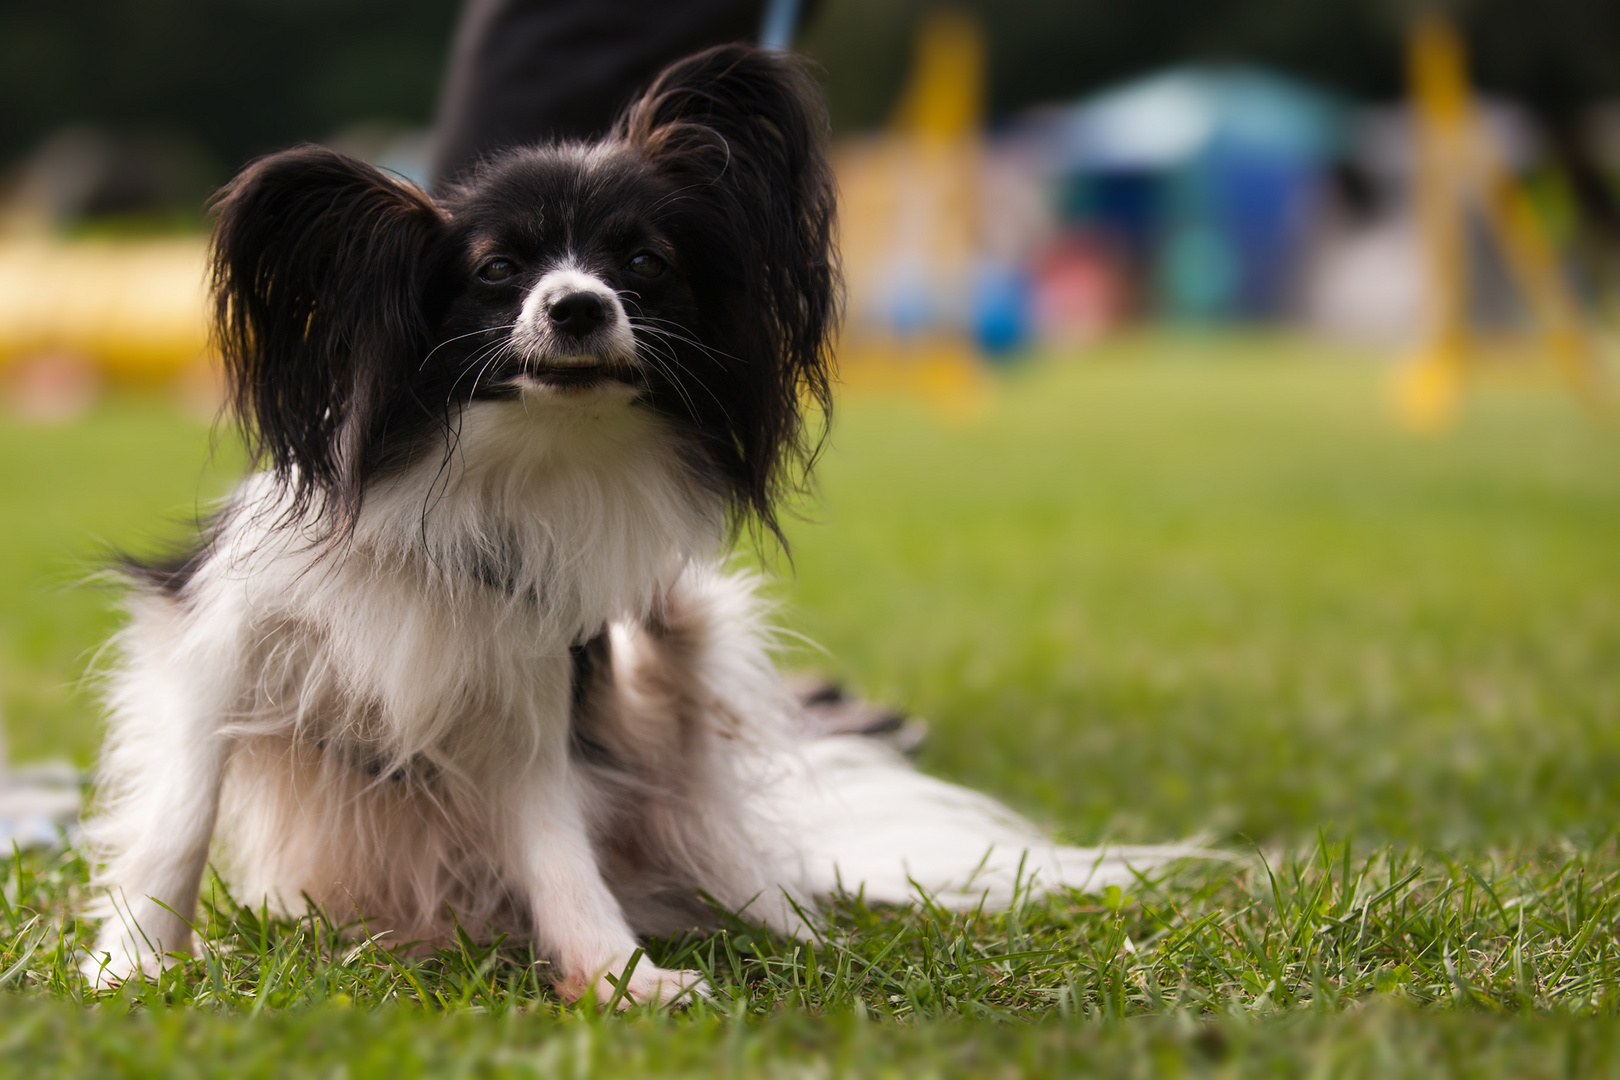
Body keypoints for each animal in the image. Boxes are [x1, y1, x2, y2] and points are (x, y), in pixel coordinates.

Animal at [82, 42, 1185, 1003]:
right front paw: (133, 966)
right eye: (495, 271)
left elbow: (558, 851)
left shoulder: (525, 706)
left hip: (693, 640)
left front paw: (620, 981)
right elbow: (176, 822)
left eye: (645, 262)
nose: (578, 306)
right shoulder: (212, 645)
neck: (519, 459)